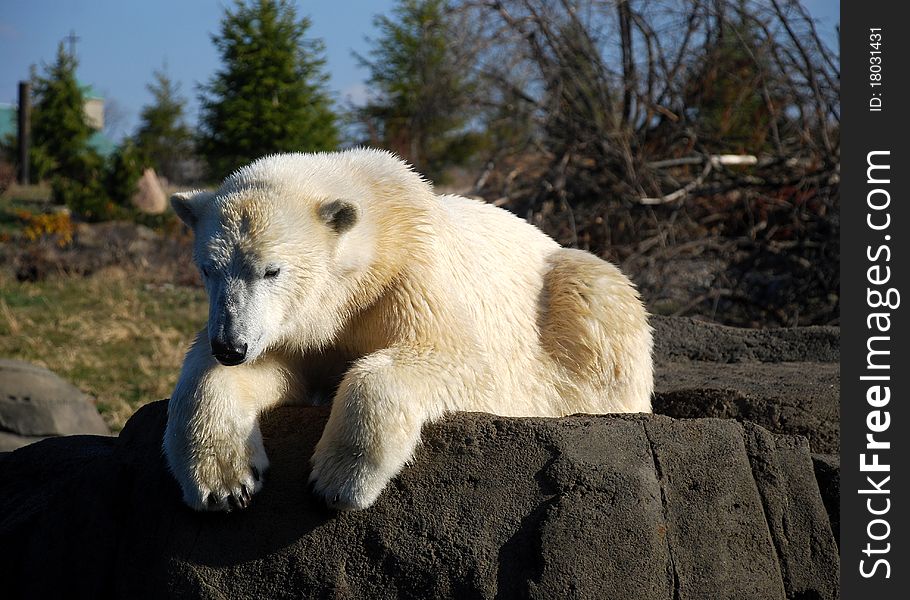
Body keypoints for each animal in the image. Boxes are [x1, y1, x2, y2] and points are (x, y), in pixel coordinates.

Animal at [162, 149, 648, 510]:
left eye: (272, 270)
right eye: (207, 269)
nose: (231, 346)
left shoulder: (411, 275)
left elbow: (456, 359)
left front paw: (338, 478)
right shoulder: (294, 328)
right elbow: (247, 371)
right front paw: (225, 483)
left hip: (573, 295)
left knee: (596, 290)